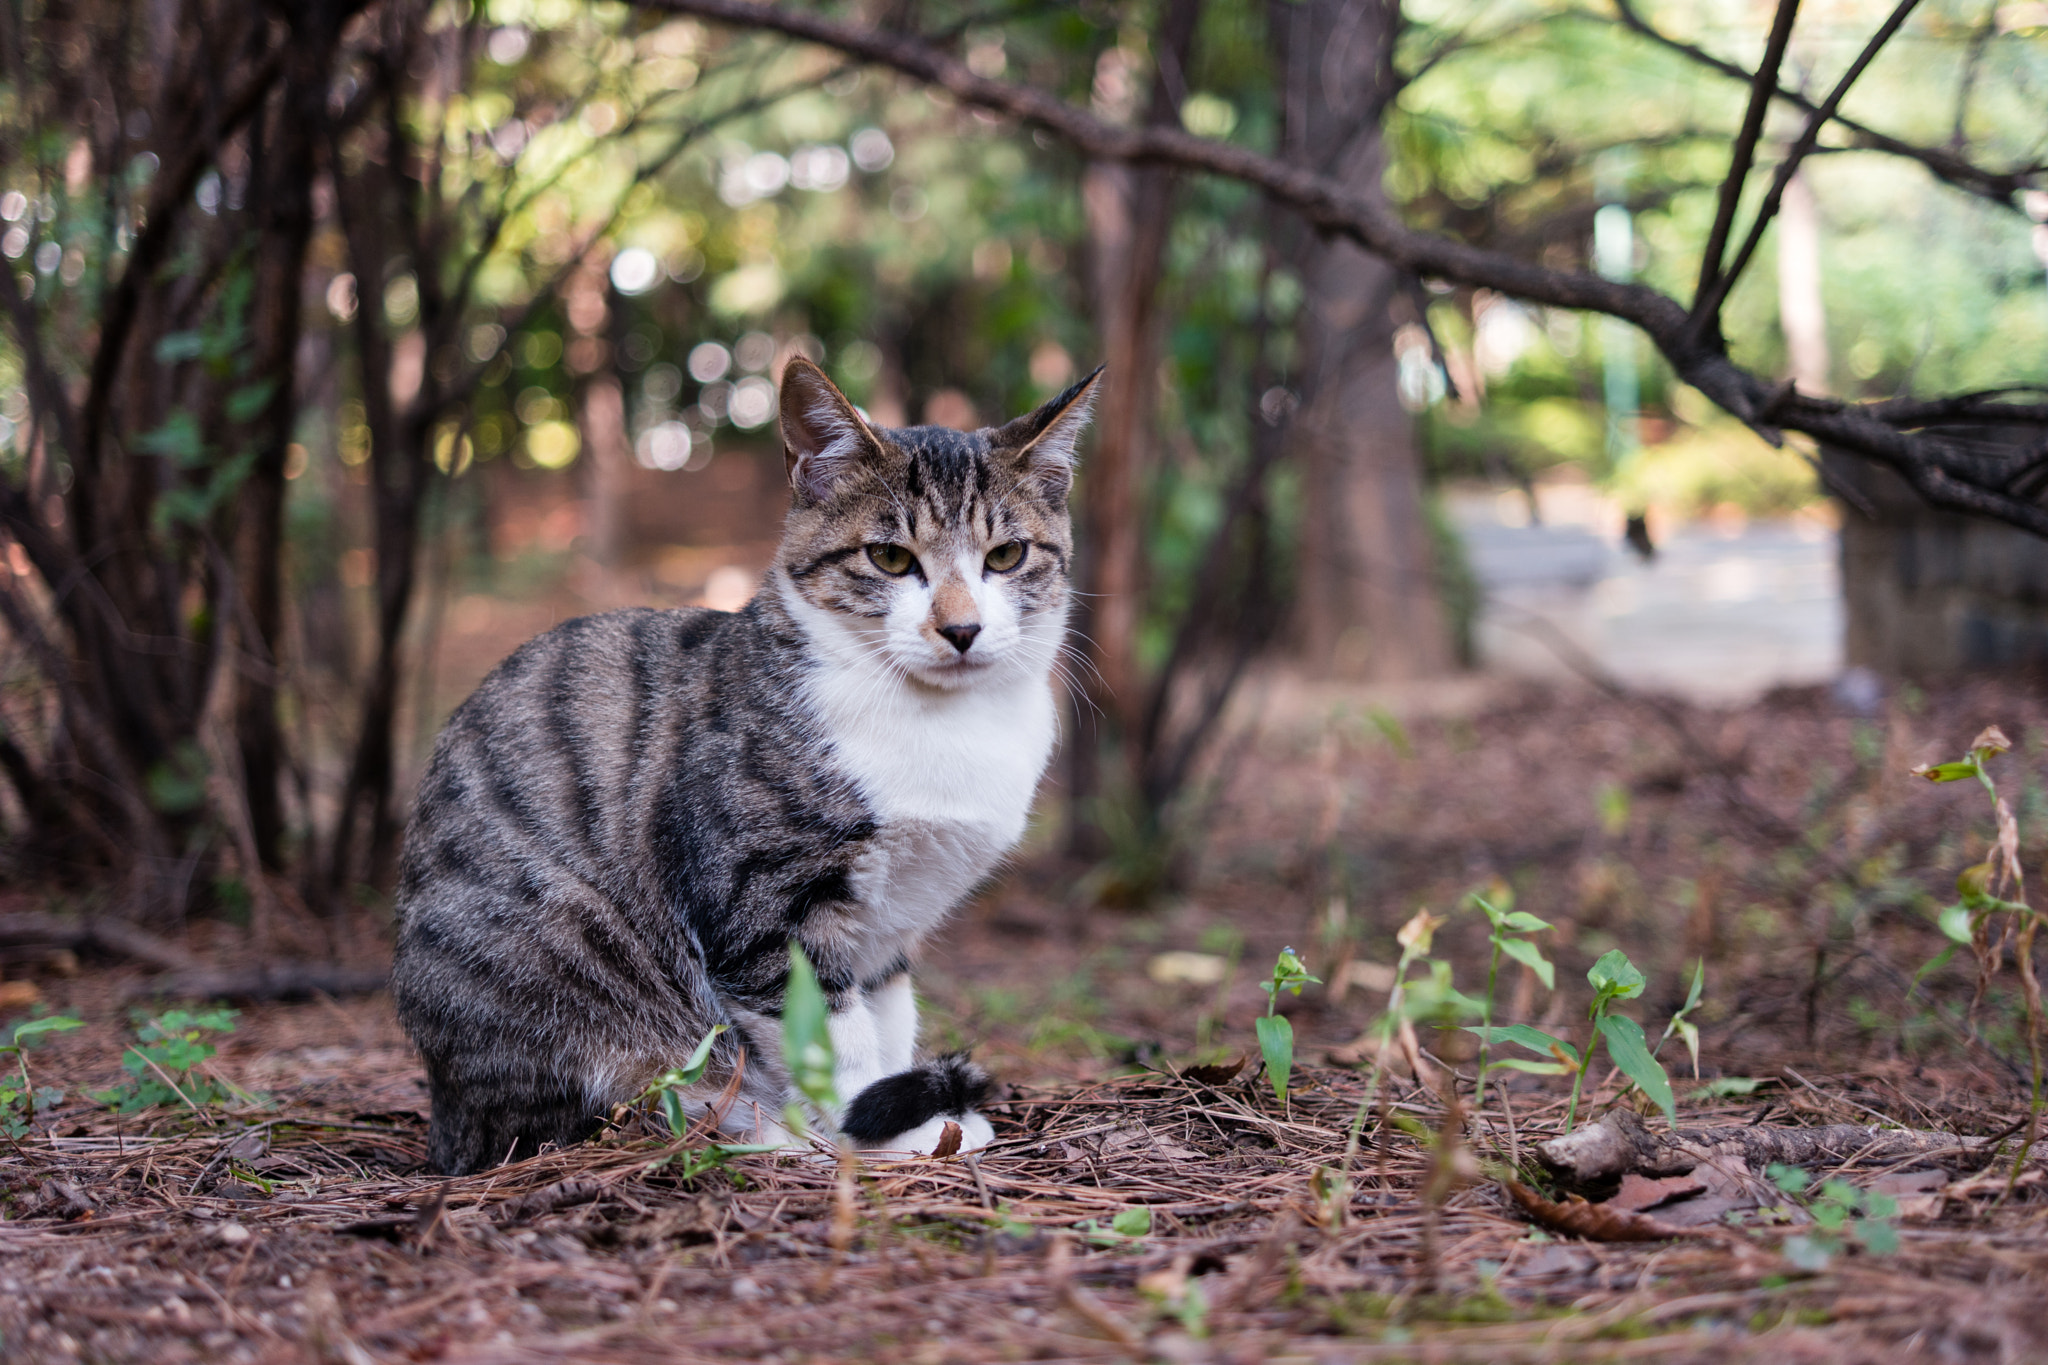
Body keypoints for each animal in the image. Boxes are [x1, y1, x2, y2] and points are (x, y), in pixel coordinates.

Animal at [397, 351, 1105, 1178]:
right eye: (890, 557)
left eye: (1007, 555)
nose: (961, 629)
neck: (942, 724)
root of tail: (447, 1127)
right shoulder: (762, 903)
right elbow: (833, 1039)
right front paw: (878, 1133)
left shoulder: (890, 925)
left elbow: (889, 1020)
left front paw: (920, 1118)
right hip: (564, 965)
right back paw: (761, 1130)